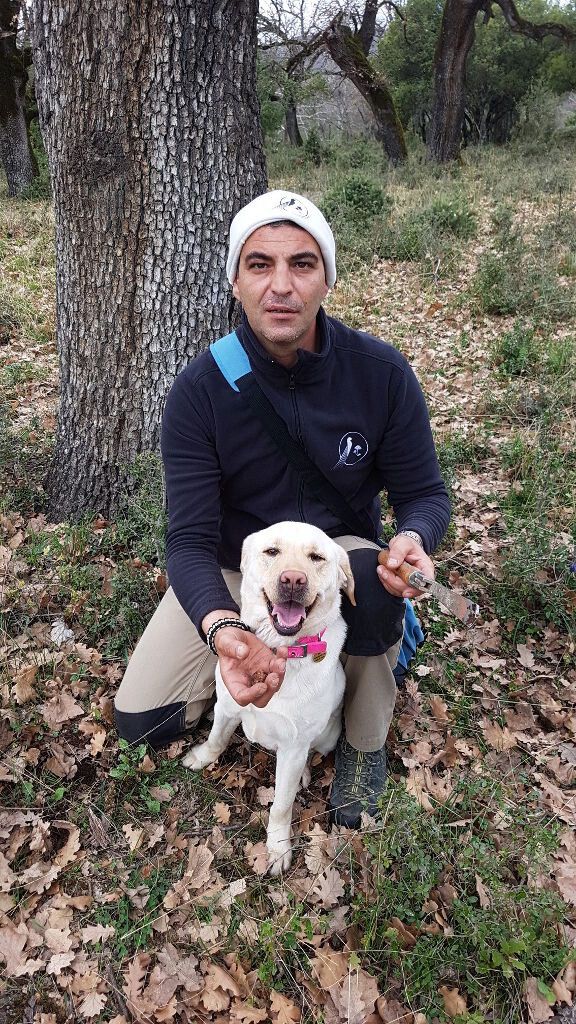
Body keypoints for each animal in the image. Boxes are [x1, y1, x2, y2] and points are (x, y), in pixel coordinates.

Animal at [183, 528, 354, 872]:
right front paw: (203, 756)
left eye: (317, 557)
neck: (280, 649)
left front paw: (277, 847)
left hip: (327, 736)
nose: (293, 580)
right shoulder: (227, 705)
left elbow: (281, 804)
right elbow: (216, 739)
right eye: (272, 551)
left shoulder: (294, 744)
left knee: (311, 754)